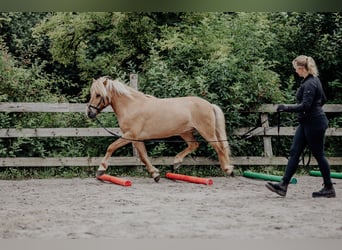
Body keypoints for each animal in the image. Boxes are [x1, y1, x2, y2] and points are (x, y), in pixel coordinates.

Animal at [87, 76, 234, 182]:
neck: (131, 106)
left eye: (98, 95)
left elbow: (111, 147)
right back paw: (176, 162)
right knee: (194, 145)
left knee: (219, 147)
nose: (89, 113)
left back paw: (228, 169)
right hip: (185, 132)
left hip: (206, 131)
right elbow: (143, 157)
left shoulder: (130, 135)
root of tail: (209, 104)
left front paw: (101, 170)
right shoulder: (136, 138)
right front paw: (155, 174)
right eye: (91, 93)